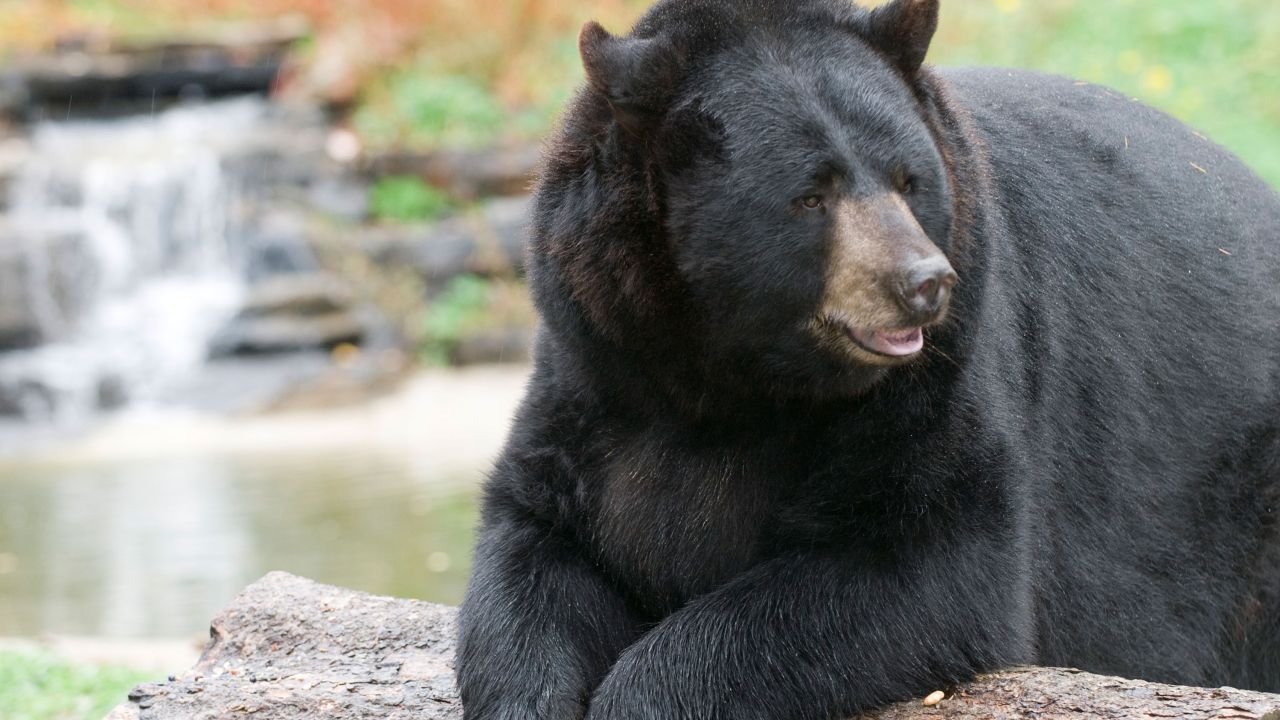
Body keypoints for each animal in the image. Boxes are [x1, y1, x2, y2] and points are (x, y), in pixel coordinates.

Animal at [456, 0, 1280, 717]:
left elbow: (924, 561)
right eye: (809, 195)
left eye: (908, 179)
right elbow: (534, 547)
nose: (924, 283)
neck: (735, 379)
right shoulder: (599, 368)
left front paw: (642, 695)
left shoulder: (942, 378)